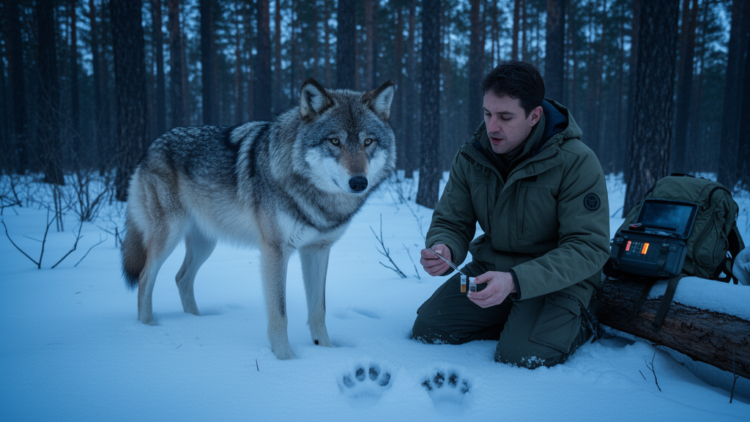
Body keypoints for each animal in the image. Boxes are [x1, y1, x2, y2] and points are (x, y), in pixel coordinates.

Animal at [121, 79, 396, 359]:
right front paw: (286, 359)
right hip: (169, 236)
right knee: (145, 277)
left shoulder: (318, 250)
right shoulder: (275, 251)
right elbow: (280, 313)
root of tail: (150, 147)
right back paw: (149, 327)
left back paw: (196, 322)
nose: (359, 182)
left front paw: (326, 351)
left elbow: (319, 308)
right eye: (335, 141)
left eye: (368, 141)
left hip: (205, 244)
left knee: (181, 278)